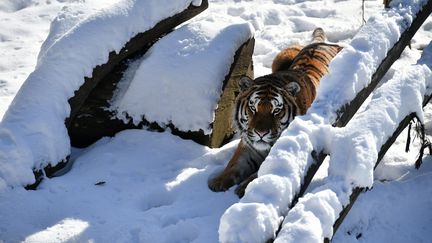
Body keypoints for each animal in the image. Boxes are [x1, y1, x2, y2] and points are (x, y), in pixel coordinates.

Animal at [208, 27, 342, 196]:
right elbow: (233, 165)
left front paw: (245, 188)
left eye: (276, 110)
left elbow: (260, 173)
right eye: (253, 108)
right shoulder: (247, 145)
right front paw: (217, 182)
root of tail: (324, 43)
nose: (261, 133)